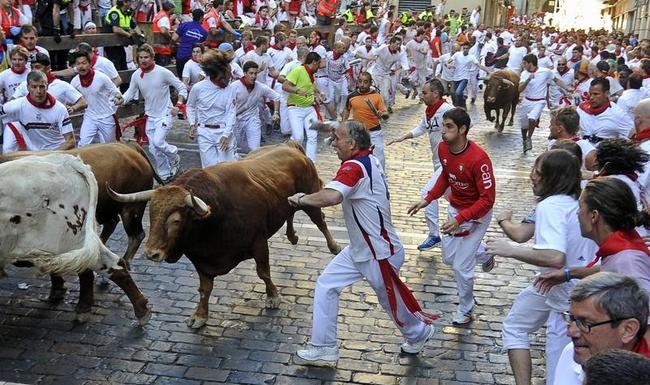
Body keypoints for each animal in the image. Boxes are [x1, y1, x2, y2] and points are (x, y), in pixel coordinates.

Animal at [107, 140, 340, 328]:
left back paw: (334, 246)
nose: (151, 254)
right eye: (151, 213)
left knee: (320, 221)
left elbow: (263, 272)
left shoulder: (259, 243)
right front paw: (200, 315)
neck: (214, 219)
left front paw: (273, 297)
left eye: (176, 220)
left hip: (311, 196)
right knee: (290, 212)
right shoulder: (201, 259)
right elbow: (204, 288)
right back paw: (292, 236)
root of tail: (290, 146)